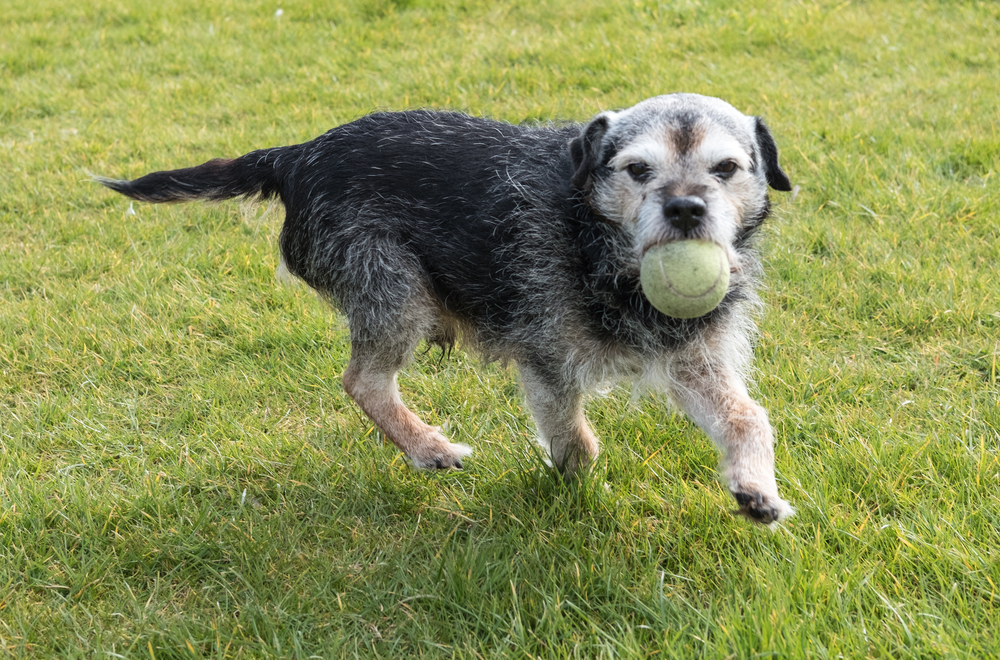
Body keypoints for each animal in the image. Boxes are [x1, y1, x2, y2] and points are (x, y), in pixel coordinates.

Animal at [99, 93, 796, 524]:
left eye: (726, 168)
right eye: (638, 169)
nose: (685, 208)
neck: (606, 253)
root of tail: (295, 155)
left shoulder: (693, 359)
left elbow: (748, 418)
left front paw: (758, 490)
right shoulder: (545, 362)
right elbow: (574, 440)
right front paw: (572, 492)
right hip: (396, 292)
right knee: (362, 380)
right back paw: (427, 447)